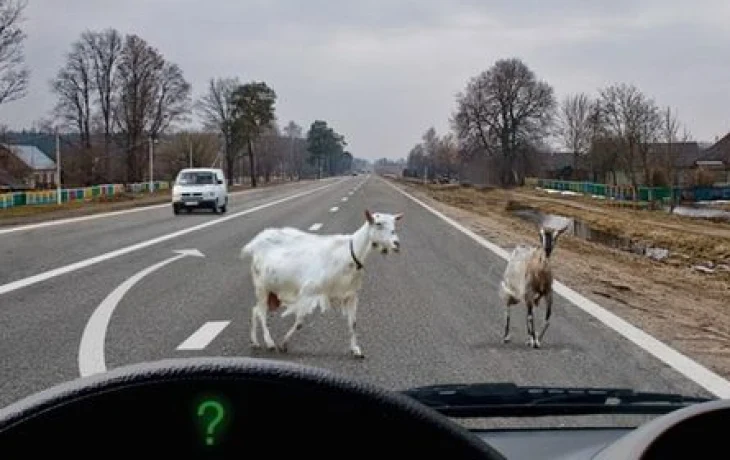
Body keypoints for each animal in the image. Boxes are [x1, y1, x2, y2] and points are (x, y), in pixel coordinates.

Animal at [240, 209, 404, 358]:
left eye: (394, 224)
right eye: (378, 223)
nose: (396, 243)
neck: (349, 254)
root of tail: (255, 245)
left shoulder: (350, 295)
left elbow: (353, 323)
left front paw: (356, 350)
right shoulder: (308, 291)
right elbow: (300, 322)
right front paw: (284, 344)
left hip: (273, 292)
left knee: (255, 310)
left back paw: (254, 342)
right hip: (262, 287)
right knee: (261, 313)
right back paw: (270, 343)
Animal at [498, 220, 568, 348]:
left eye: (556, 236)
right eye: (540, 235)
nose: (547, 249)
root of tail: (520, 247)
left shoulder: (548, 293)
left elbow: (546, 320)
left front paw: (537, 340)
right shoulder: (529, 293)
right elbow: (531, 317)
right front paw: (533, 340)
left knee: (528, 313)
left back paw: (528, 337)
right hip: (512, 292)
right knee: (508, 309)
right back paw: (506, 337)